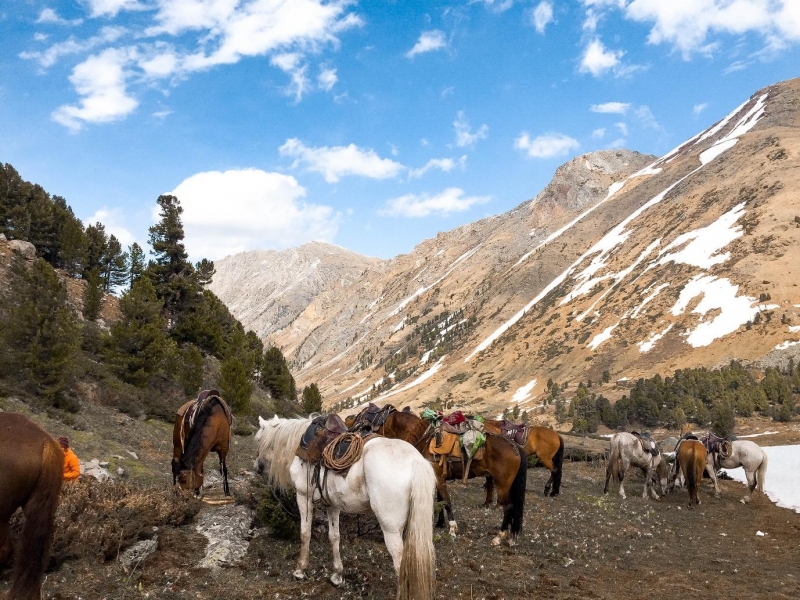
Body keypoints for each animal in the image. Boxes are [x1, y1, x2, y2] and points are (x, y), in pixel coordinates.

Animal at [256, 418, 438, 600]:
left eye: (258, 440)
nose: (257, 467)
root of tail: (416, 462)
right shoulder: (332, 504)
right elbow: (334, 537)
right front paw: (337, 575)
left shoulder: (303, 497)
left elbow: (305, 534)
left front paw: (300, 570)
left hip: (390, 528)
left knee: (399, 562)